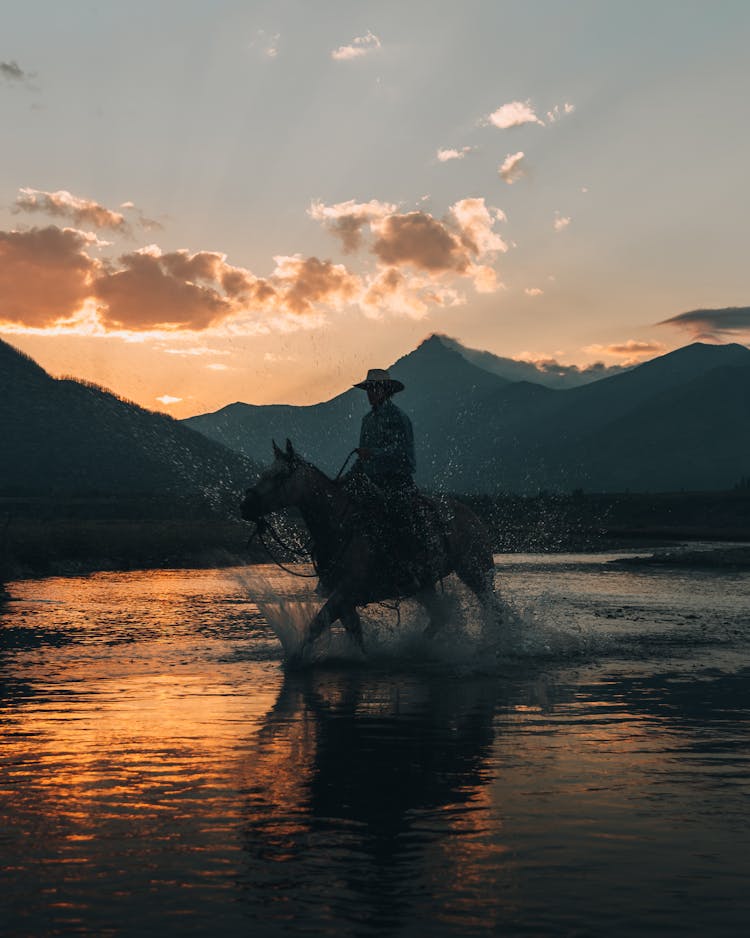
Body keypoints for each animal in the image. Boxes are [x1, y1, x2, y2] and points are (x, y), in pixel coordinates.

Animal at [242, 440, 500, 664]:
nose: (245, 506)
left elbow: (316, 624)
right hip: (425, 585)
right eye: (264, 473)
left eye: (279, 475)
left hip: (476, 572)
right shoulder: (343, 599)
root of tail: (472, 516)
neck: (339, 526)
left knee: (494, 608)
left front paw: (295, 659)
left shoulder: (345, 592)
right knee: (440, 616)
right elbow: (354, 635)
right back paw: (416, 648)